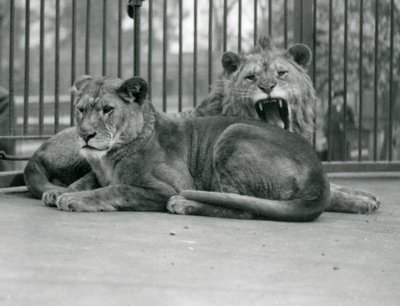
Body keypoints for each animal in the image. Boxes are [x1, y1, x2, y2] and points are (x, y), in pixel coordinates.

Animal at [40, 75, 330, 221]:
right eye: (81, 110)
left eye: (107, 110)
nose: (85, 135)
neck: (108, 157)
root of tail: (320, 179)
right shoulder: (98, 171)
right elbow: (87, 180)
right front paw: (59, 191)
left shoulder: (167, 186)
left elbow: (117, 189)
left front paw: (75, 199)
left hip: (233, 132)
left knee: (242, 207)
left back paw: (184, 203)